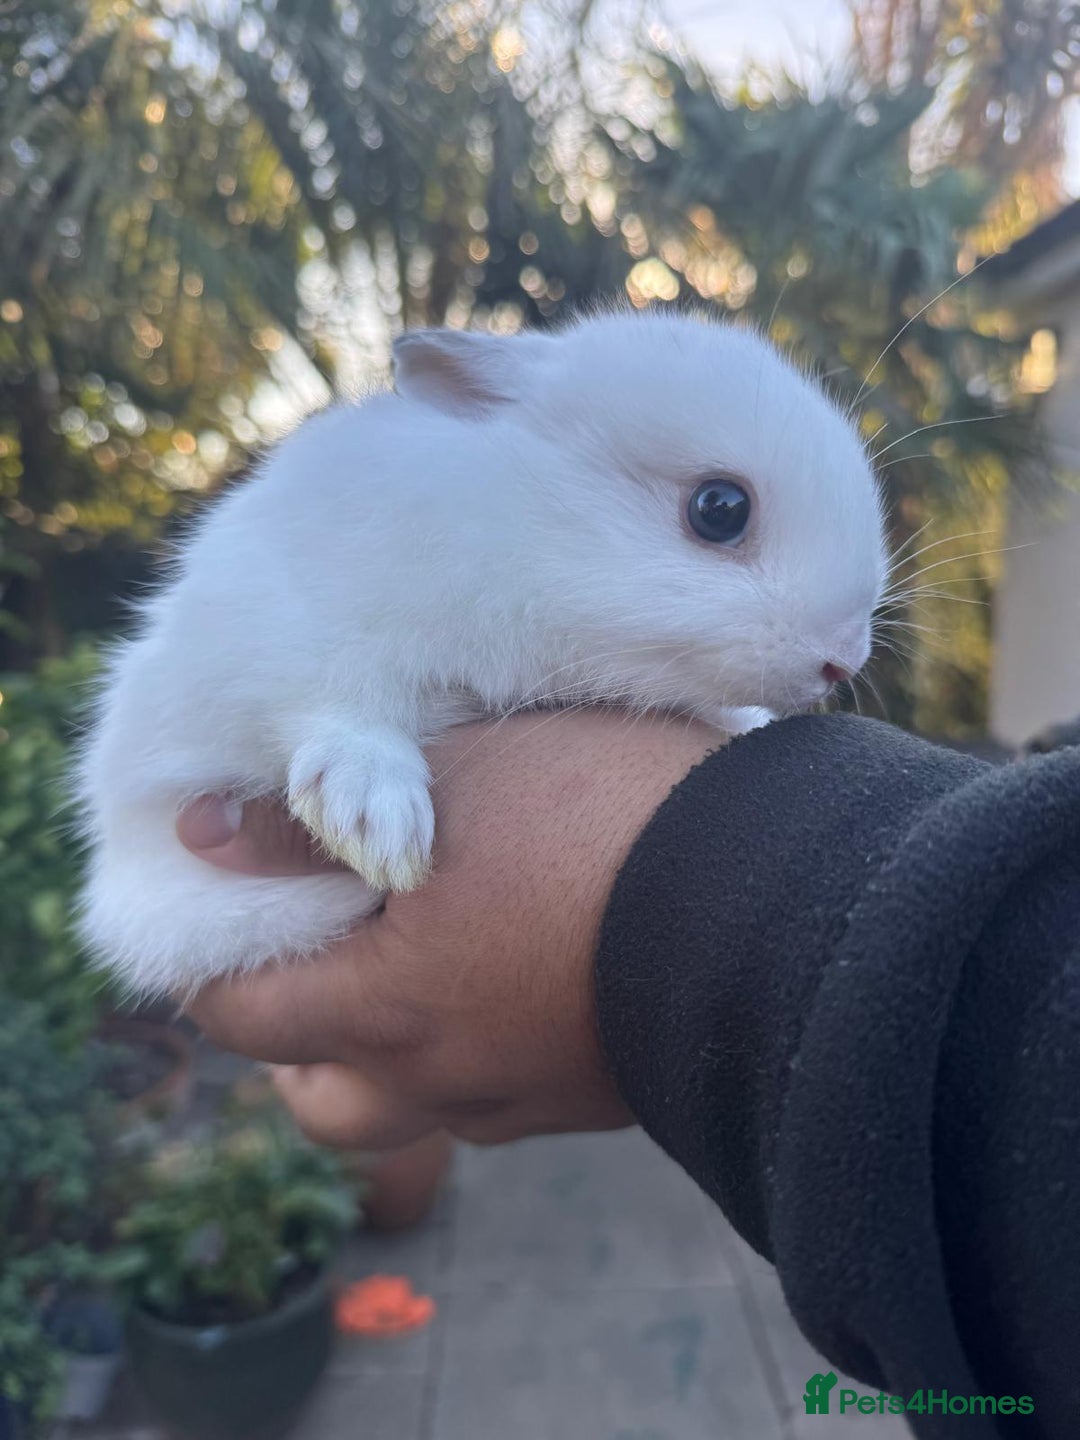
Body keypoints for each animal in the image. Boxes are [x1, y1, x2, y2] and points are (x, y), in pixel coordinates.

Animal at [74, 308, 888, 998]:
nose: (842, 660)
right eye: (720, 509)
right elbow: (334, 712)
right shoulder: (286, 639)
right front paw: (377, 823)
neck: (514, 531)